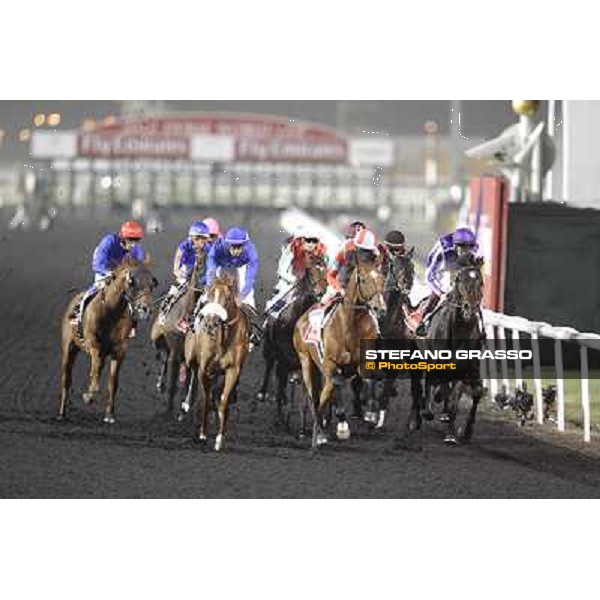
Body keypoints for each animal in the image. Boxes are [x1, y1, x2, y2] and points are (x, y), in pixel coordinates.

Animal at [56, 256, 157, 422]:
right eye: (132, 282)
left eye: (152, 283)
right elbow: (95, 373)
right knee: (66, 379)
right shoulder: (94, 345)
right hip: (69, 347)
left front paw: (109, 414)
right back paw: (62, 412)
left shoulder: (119, 351)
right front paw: (88, 397)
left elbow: (113, 382)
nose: (146, 309)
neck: (112, 313)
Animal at [183, 272, 248, 450]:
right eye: (210, 294)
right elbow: (204, 400)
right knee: (192, 377)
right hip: (192, 358)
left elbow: (223, 401)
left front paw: (219, 438)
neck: (223, 338)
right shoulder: (204, 369)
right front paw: (202, 434)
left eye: (228, 297)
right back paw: (186, 405)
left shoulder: (233, 370)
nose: (211, 323)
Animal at [255, 253, 326, 432]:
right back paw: (264, 394)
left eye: (325, 268)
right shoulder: (282, 357)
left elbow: (311, 393)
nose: (321, 292)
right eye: (311, 269)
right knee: (270, 367)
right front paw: (279, 418)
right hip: (270, 349)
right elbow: (281, 385)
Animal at [294, 260, 386, 448]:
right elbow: (328, 393)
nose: (380, 308)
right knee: (314, 397)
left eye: (382, 279)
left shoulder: (361, 363)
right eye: (363, 280)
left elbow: (372, 379)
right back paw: (319, 431)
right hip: (306, 361)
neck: (350, 326)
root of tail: (301, 319)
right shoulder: (331, 364)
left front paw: (372, 415)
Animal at [410, 255, 486, 442]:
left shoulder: (463, 368)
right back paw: (416, 418)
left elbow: (454, 399)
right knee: (418, 387)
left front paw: (453, 432)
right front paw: (428, 410)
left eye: (481, 282)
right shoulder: (435, 362)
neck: (458, 331)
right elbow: (432, 385)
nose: (469, 309)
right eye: (459, 279)